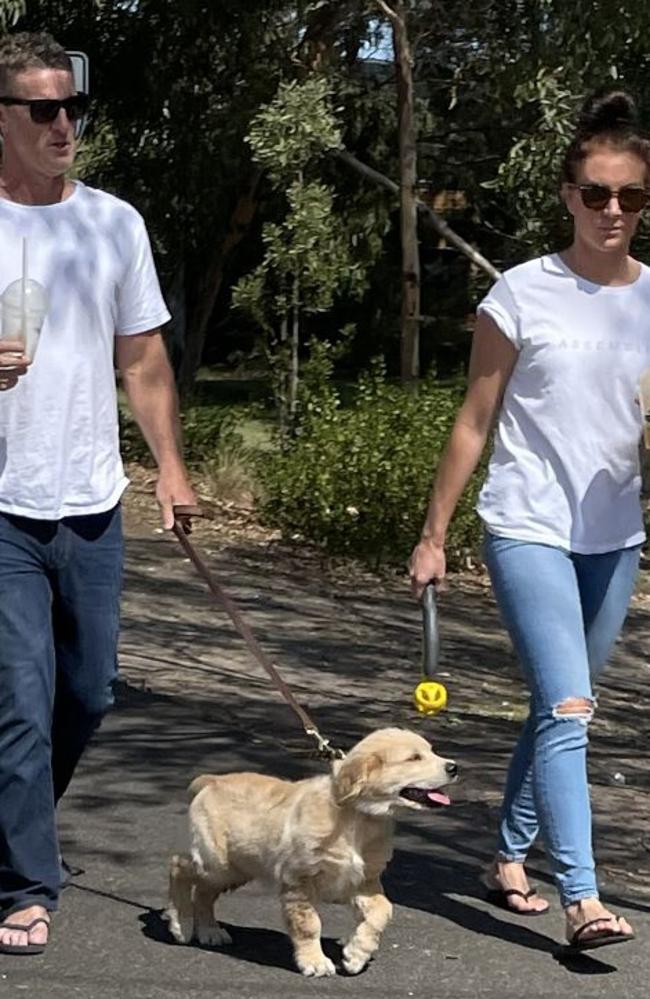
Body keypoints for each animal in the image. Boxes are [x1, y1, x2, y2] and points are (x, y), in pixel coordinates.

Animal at [165, 728, 454, 976]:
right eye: (414, 757)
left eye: (431, 751)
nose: (454, 767)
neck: (358, 819)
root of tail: (212, 780)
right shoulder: (300, 880)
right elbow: (309, 924)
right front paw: (314, 961)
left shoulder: (363, 881)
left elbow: (383, 911)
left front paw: (356, 954)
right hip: (216, 861)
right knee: (179, 866)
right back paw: (180, 922)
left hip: (235, 869)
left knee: (204, 892)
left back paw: (209, 931)